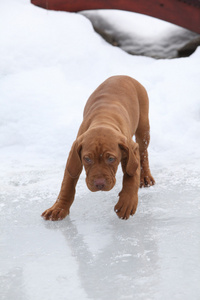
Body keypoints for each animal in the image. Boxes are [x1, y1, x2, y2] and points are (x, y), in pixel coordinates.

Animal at [41, 75, 155, 220]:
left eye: (111, 159)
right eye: (87, 159)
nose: (99, 184)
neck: (103, 120)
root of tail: (122, 75)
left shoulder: (131, 150)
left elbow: (131, 176)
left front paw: (127, 202)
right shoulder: (74, 156)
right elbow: (67, 184)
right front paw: (58, 208)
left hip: (143, 126)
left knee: (143, 153)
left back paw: (145, 176)